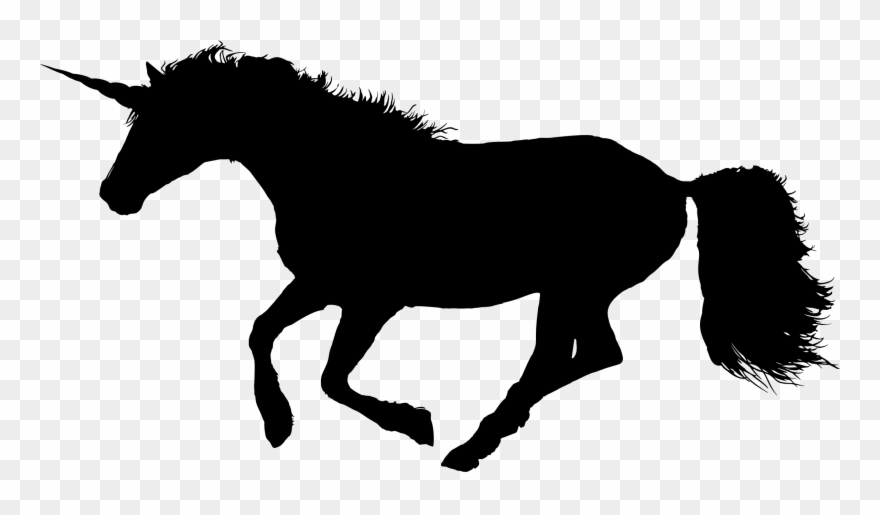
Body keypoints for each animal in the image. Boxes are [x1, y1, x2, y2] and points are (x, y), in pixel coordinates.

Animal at [44, 44, 835, 471]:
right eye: (136, 120)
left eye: (168, 125)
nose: (114, 194)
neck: (342, 172)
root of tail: (675, 183)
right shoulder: (321, 285)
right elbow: (261, 333)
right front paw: (276, 423)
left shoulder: (372, 299)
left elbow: (333, 377)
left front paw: (412, 422)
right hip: (575, 291)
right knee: (592, 355)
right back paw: (484, 437)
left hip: (573, 285)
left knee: (566, 358)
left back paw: (469, 444)